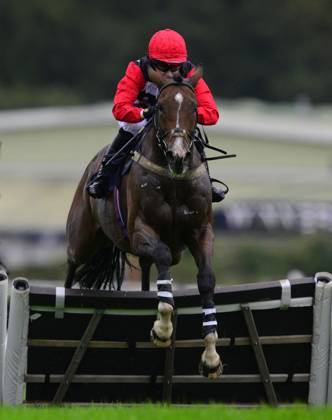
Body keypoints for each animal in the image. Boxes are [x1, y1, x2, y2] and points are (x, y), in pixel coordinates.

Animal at [65, 65, 222, 378]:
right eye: (159, 107)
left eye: (194, 107)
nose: (178, 155)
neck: (173, 179)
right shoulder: (140, 232)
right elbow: (162, 254)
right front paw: (162, 327)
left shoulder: (201, 232)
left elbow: (206, 279)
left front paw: (211, 356)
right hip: (82, 237)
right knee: (72, 265)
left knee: (149, 275)